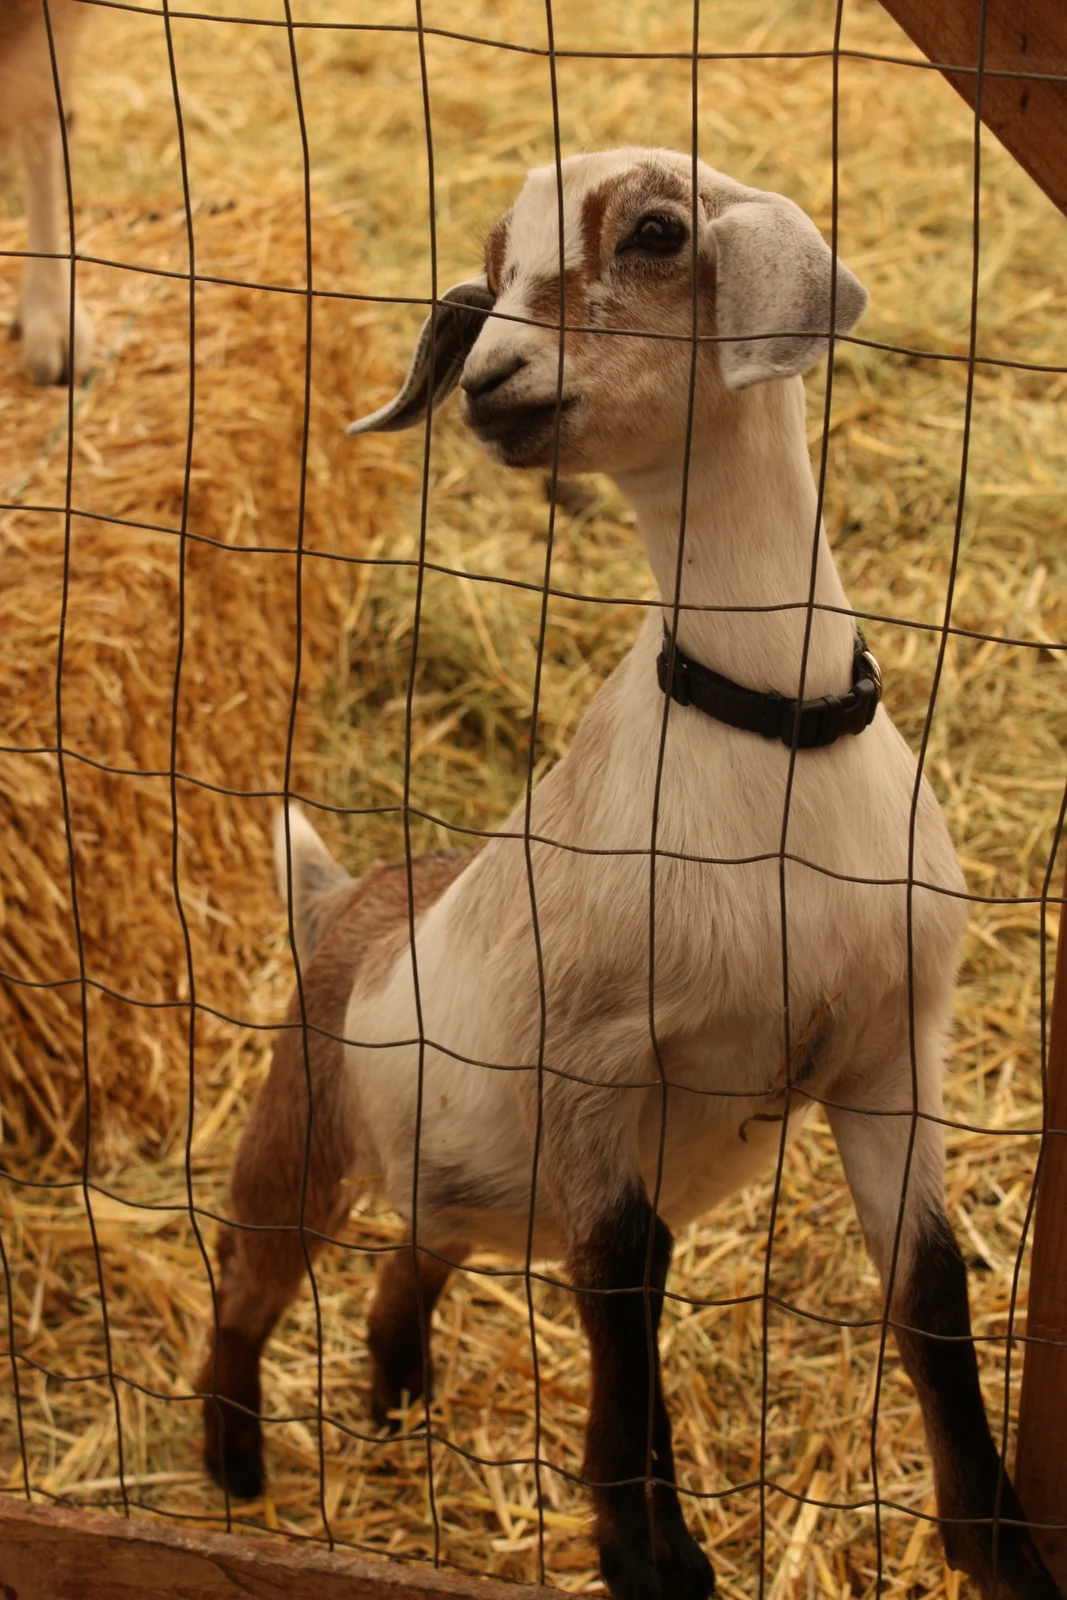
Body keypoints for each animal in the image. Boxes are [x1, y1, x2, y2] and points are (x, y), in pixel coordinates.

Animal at [200, 148, 1061, 1600]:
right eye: (494, 274)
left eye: (656, 234)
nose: (491, 380)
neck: (771, 730)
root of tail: (354, 899)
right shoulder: (601, 1075)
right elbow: (623, 1298)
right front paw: (648, 1555)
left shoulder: (892, 1051)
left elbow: (927, 1293)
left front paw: (995, 1548)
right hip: (301, 1129)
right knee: (249, 1276)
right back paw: (231, 1466)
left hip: (462, 1178)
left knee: (410, 1258)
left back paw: (396, 1395)